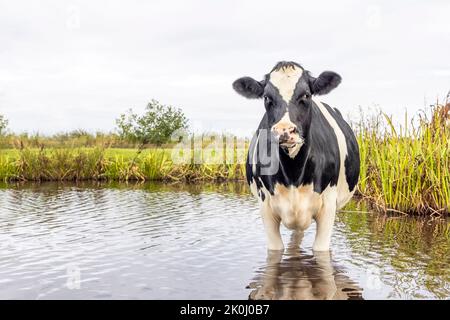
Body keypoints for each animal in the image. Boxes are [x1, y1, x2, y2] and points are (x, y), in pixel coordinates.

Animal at [234, 61, 360, 251]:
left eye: (306, 95)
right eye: (266, 98)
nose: (284, 130)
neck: (293, 172)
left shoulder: (329, 206)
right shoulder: (265, 207)